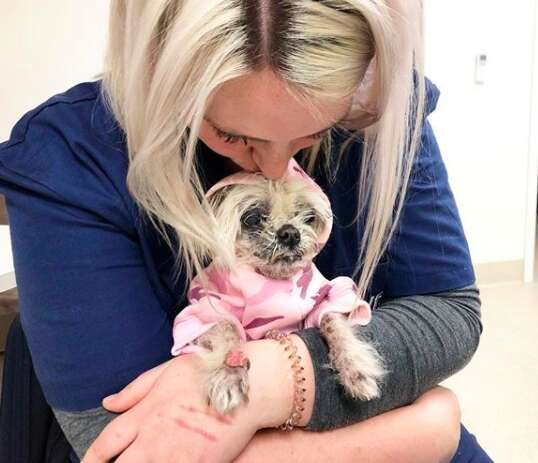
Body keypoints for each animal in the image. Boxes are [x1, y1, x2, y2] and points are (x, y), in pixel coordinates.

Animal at [172, 158, 386, 416]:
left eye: (308, 216)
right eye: (252, 218)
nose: (290, 233)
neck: (275, 279)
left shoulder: (330, 296)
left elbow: (332, 321)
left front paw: (356, 366)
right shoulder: (204, 310)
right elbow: (227, 328)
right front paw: (228, 374)